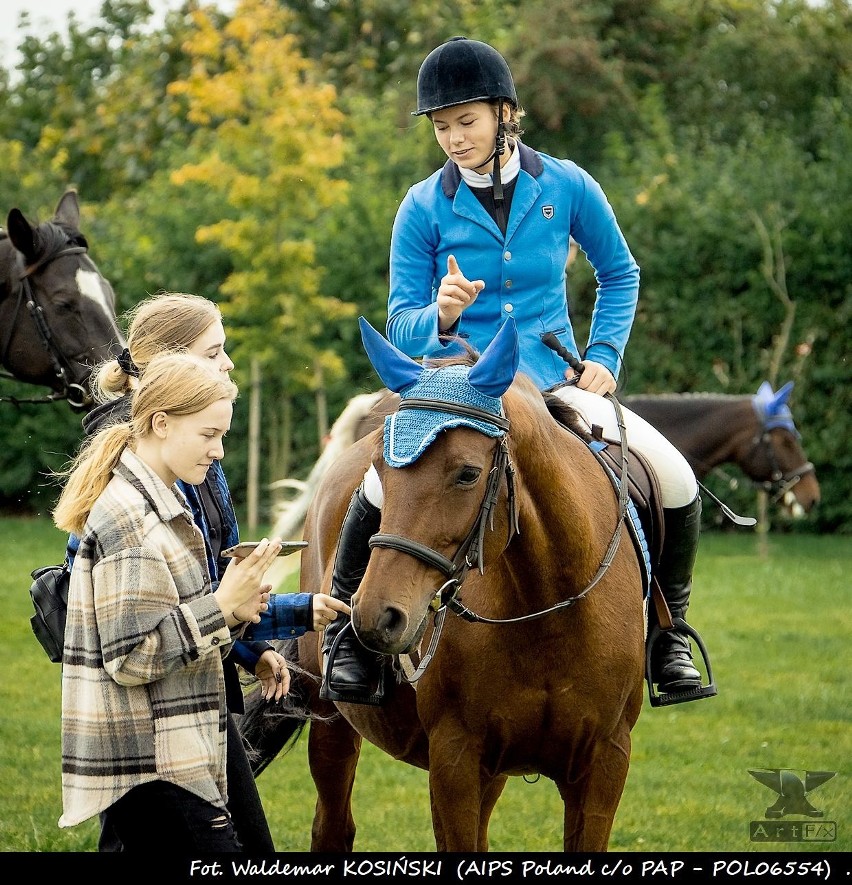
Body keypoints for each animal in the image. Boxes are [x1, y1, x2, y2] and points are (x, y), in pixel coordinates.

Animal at [243, 318, 644, 848]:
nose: (375, 616)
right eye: (381, 470)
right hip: (332, 722)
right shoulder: (455, 759)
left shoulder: (604, 762)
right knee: (333, 825)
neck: (547, 614)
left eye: (468, 473)